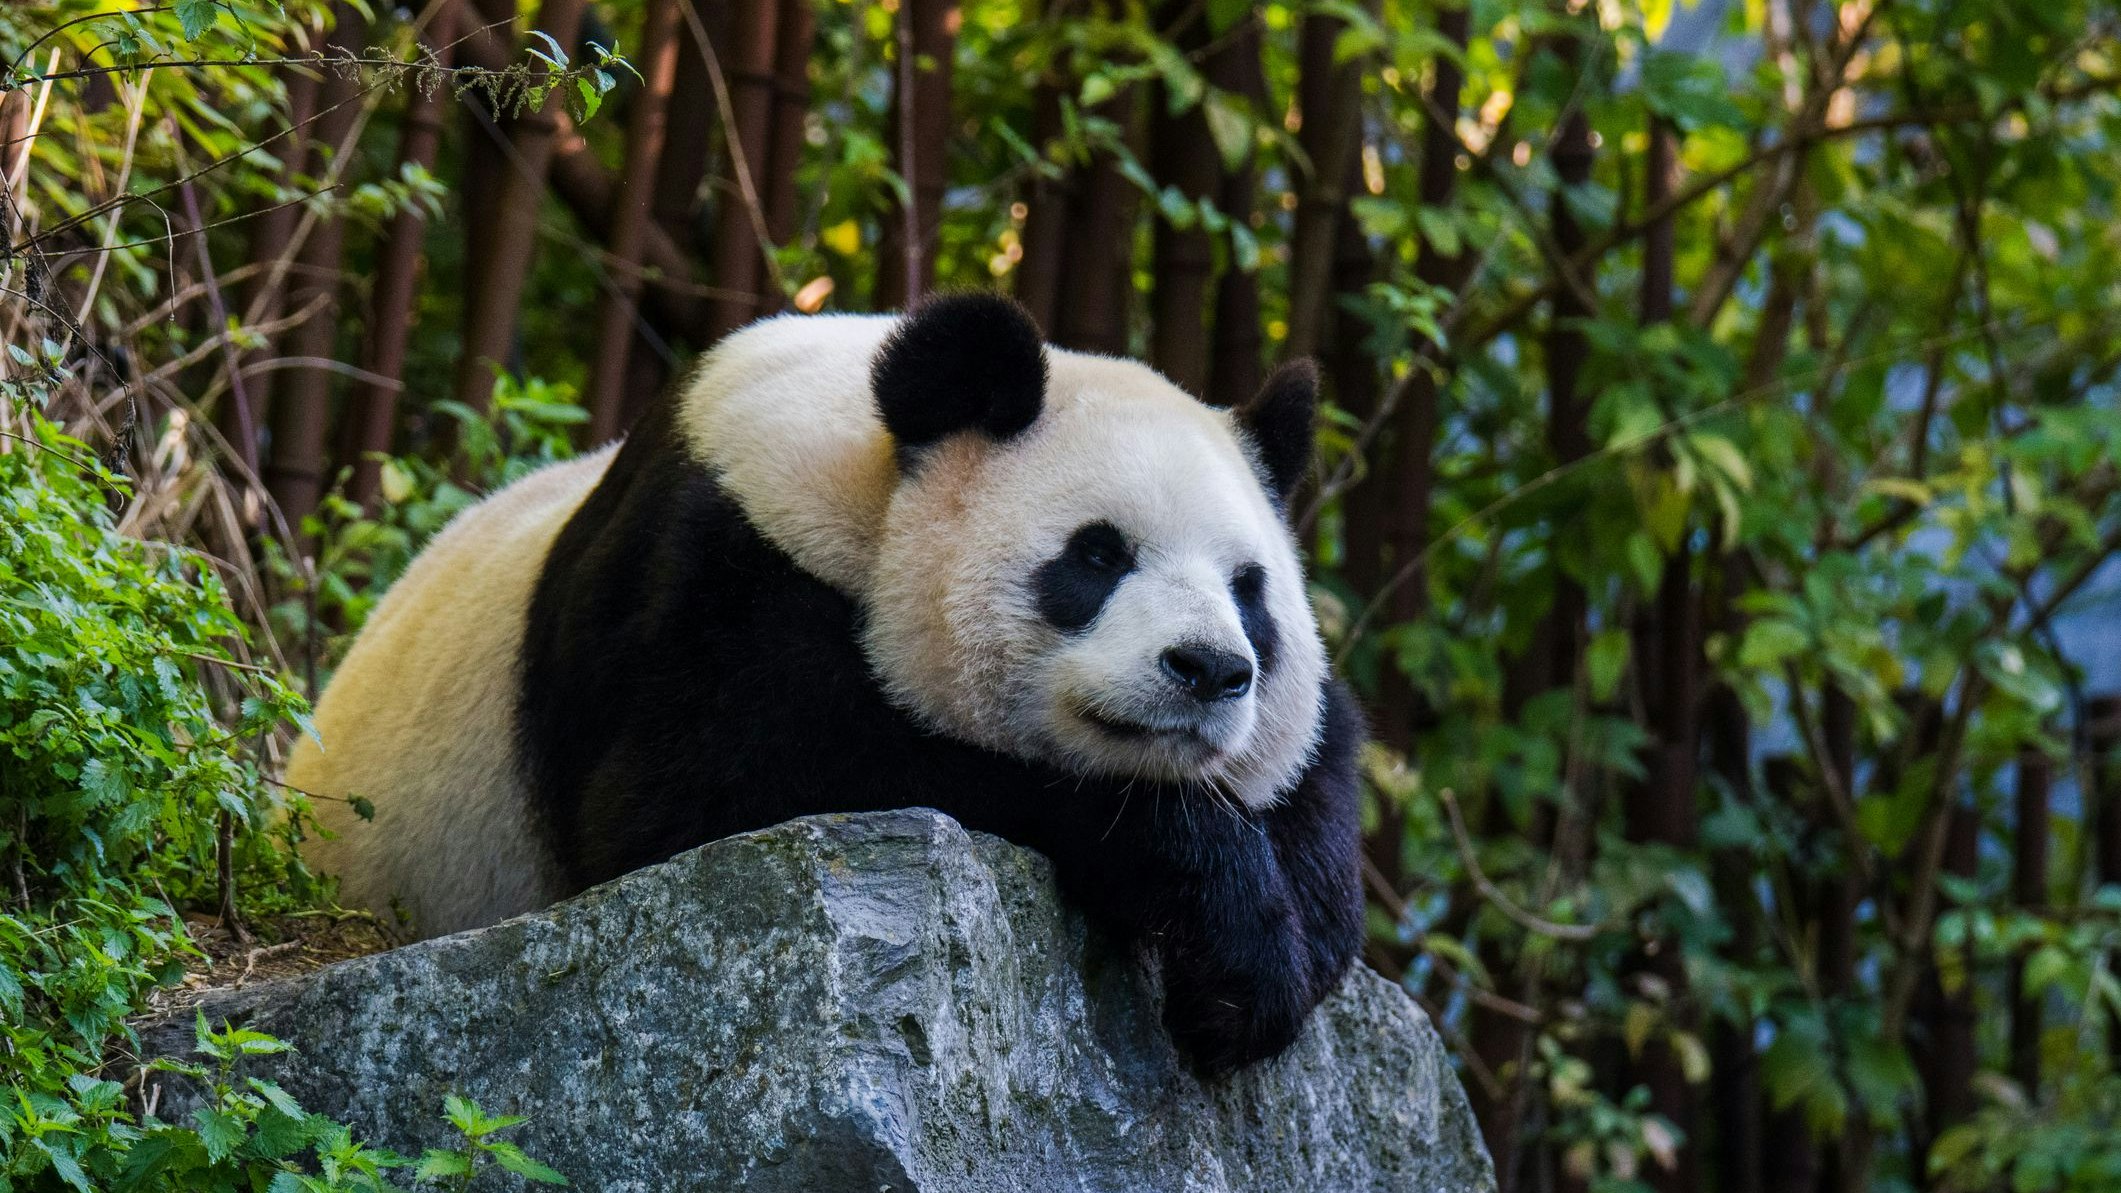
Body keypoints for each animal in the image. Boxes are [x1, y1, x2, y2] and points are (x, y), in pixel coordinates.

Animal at [289, 294, 1364, 1073]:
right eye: (1097, 555)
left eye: (1249, 588)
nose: (1210, 668)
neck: (869, 480)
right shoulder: (704, 571)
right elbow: (729, 793)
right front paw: (1220, 912)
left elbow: (1319, 776)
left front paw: (1265, 958)